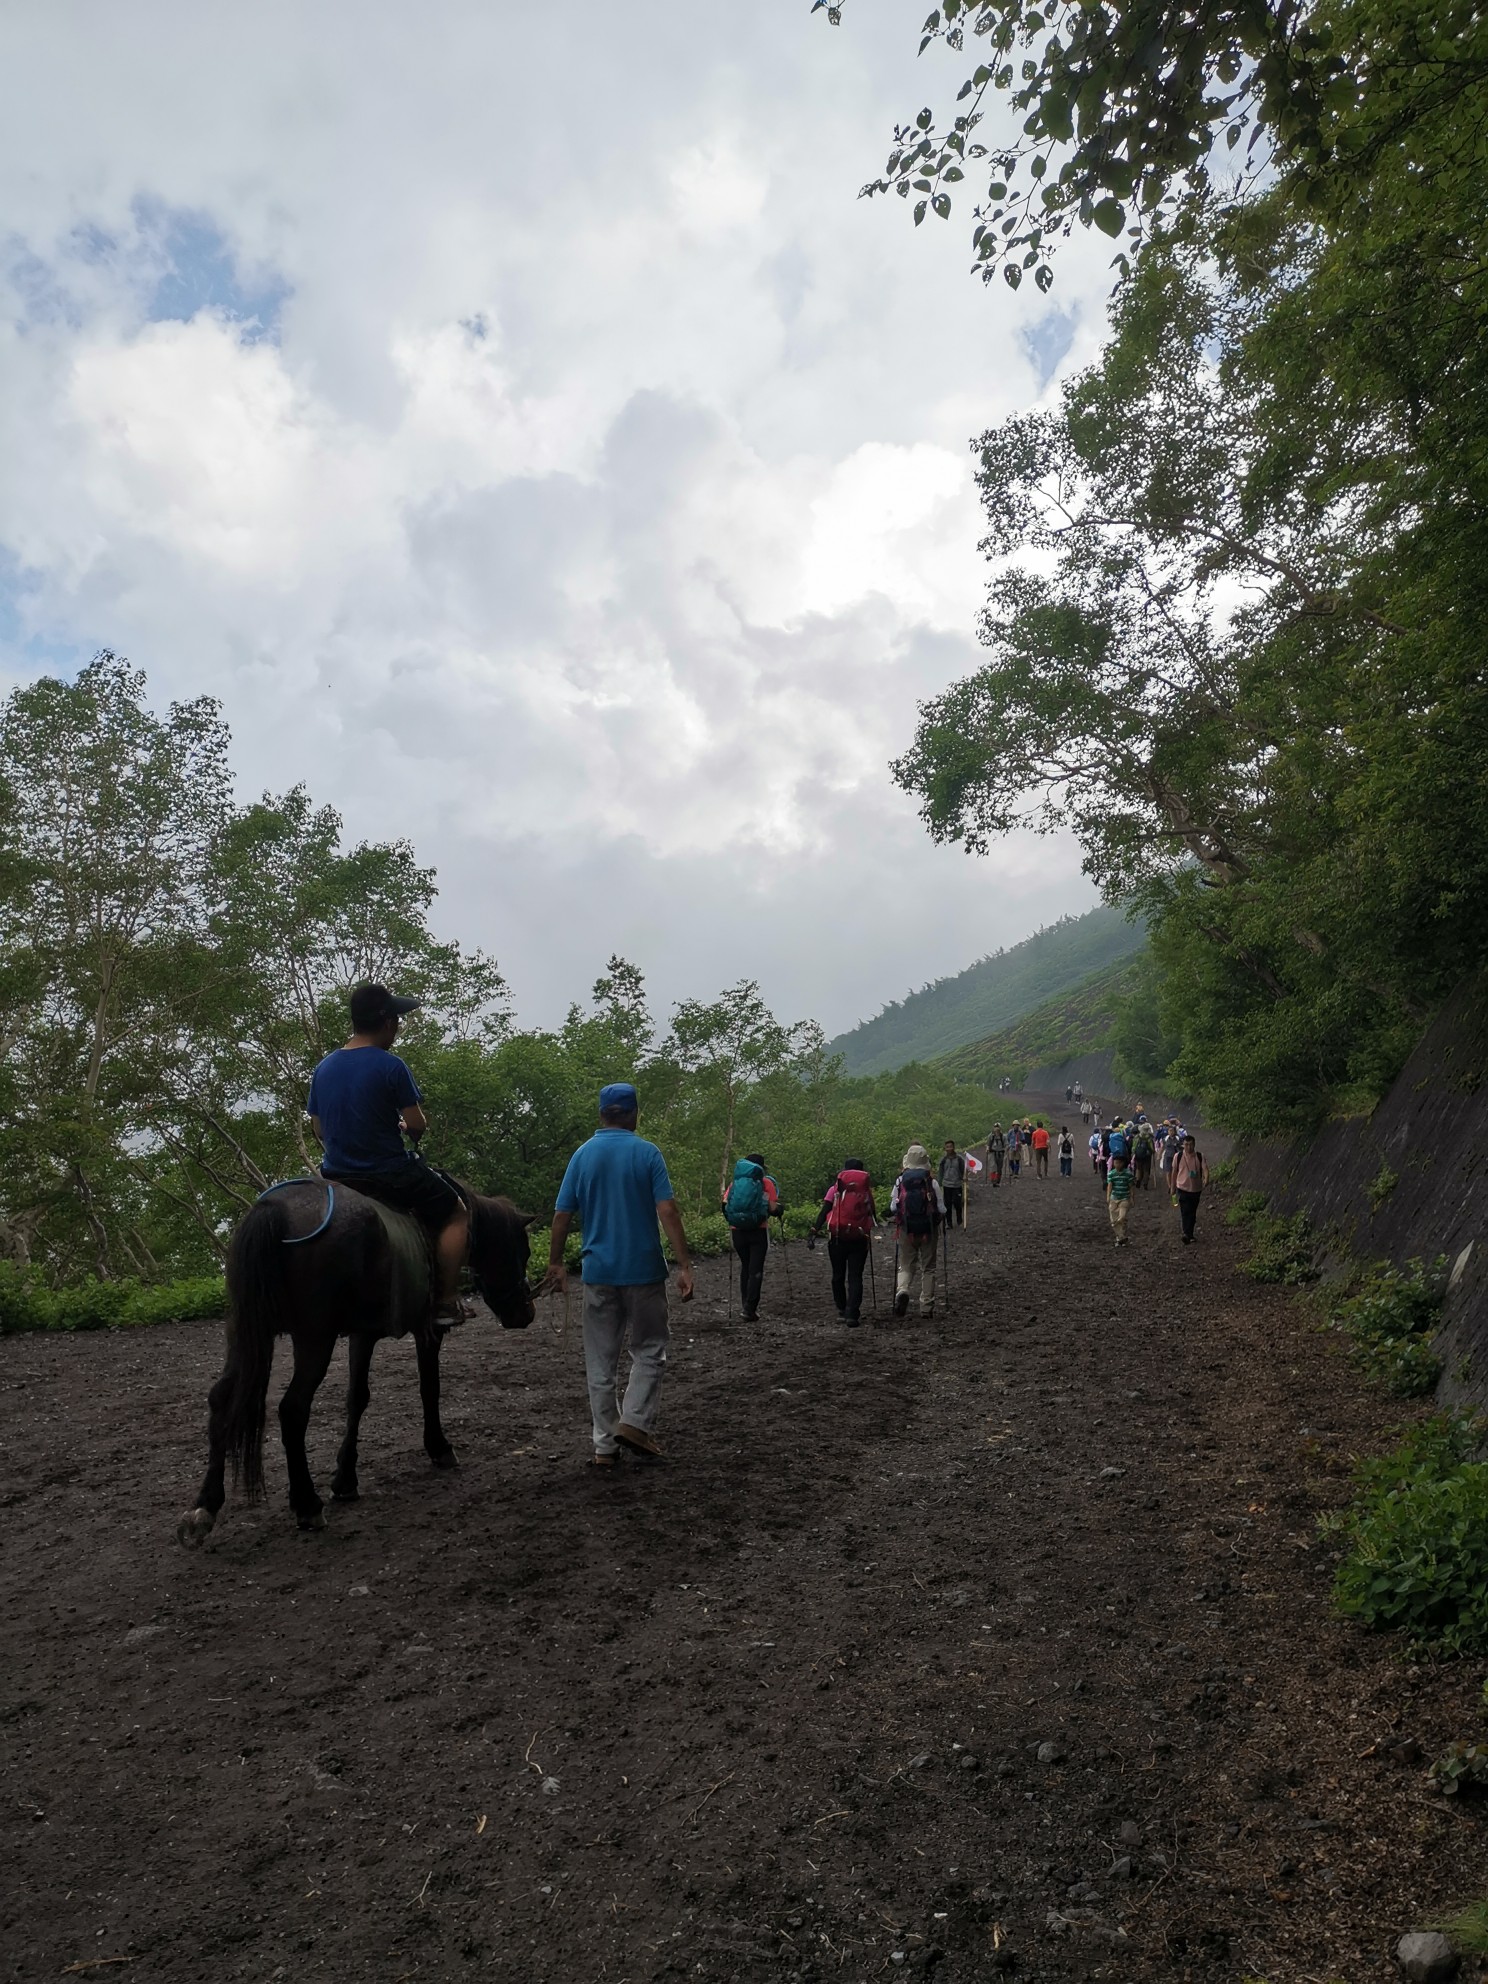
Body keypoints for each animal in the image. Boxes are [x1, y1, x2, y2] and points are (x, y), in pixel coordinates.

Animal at [176, 1174, 535, 1547]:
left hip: (246, 1331)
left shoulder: (362, 1335)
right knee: (293, 1408)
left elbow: (356, 1399)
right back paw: (306, 1503)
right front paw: (438, 1447)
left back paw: (204, 1508)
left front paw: (345, 1479)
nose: (525, 1313)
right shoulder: (426, 1331)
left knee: (221, 1400)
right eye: (522, 1250)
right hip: (314, 1338)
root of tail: (273, 1208)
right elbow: (429, 1388)